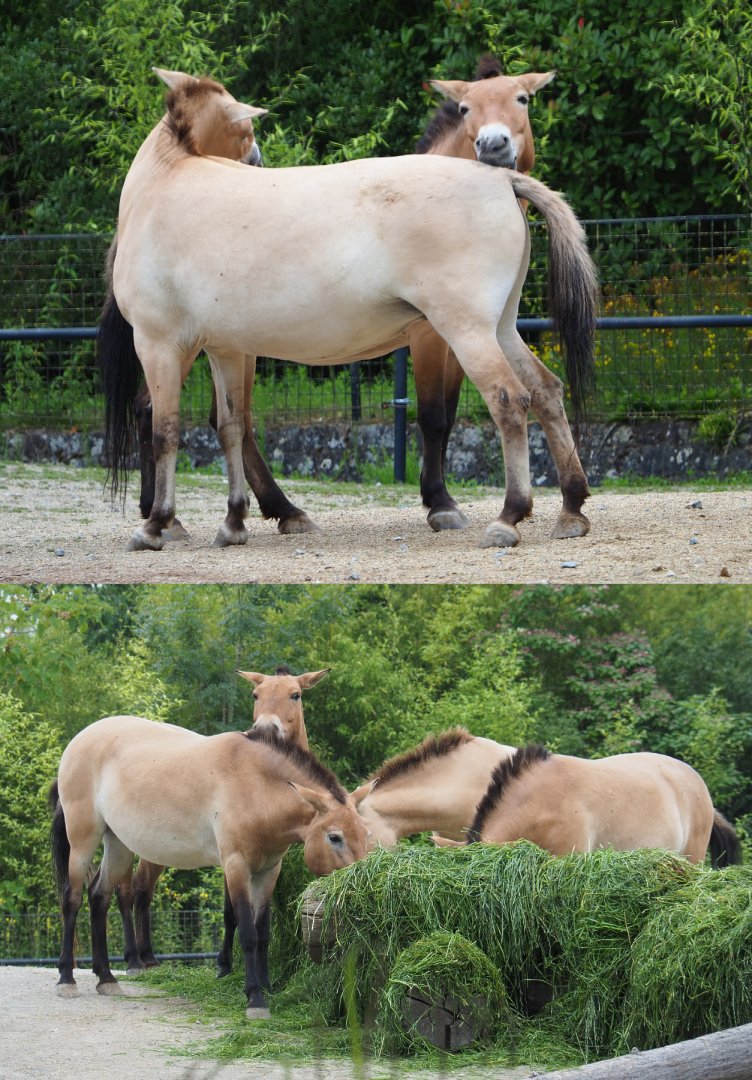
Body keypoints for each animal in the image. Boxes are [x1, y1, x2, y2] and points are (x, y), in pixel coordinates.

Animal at [50, 715, 369, 1018]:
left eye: (364, 833)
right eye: (334, 837)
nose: (358, 894)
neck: (257, 785)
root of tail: (79, 740)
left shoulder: (268, 871)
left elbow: (263, 934)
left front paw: (267, 986)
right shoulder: (236, 866)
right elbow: (247, 933)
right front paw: (255, 998)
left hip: (118, 846)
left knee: (99, 897)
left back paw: (106, 977)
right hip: (83, 840)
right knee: (72, 899)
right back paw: (67, 978)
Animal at [101, 67, 597, 552]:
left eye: (521, 99)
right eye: (465, 107)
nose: (257, 159)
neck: (167, 183)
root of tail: (498, 180)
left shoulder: (159, 343)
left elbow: (168, 428)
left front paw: (154, 526)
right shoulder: (222, 348)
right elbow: (230, 426)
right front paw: (233, 523)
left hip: (467, 331)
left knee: (510, 400)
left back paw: (509, 517)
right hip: (500, 328)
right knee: (547, 391)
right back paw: (571, 508)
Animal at [117, 665, 328, 972]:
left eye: (295, 694)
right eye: (255, 694)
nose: (265, 729)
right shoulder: (232, 858)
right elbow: (232, 912)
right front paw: (225, 964)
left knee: (143, 888)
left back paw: (148, 956)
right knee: (132, 890)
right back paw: (136, 958)